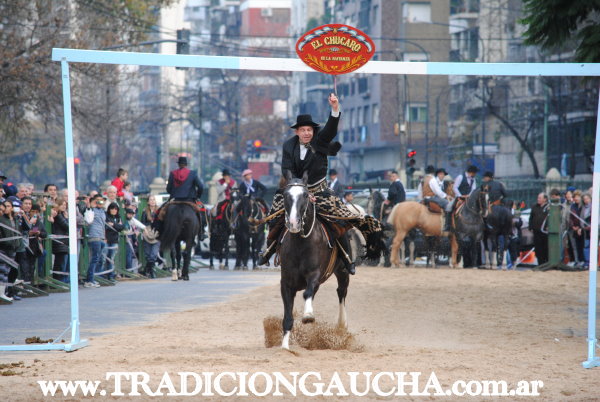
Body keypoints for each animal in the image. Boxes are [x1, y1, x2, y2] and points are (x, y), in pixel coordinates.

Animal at [278, 171, 350, 350]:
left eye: (305, 195)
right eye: (285, 195)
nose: (294, 223)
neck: (300, 243)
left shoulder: (315, 275)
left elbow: (308, 292)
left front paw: (308, 315)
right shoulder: (286, 283)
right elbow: (287, 317)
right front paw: (285, 347)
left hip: (343, 271)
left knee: (341, 291)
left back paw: (342, 325)